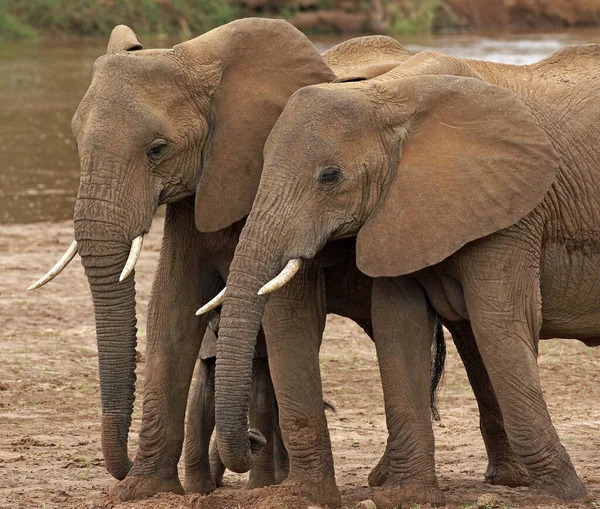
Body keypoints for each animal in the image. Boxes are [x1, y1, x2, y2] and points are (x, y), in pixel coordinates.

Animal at [209, 43, 600, 508]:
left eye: (330, 176)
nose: (254, 441)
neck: (391, 95)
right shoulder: (399, 209)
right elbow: (399, 326)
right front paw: (407, 496)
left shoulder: (513, 207)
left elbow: (500, 323)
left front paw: (562, 493)